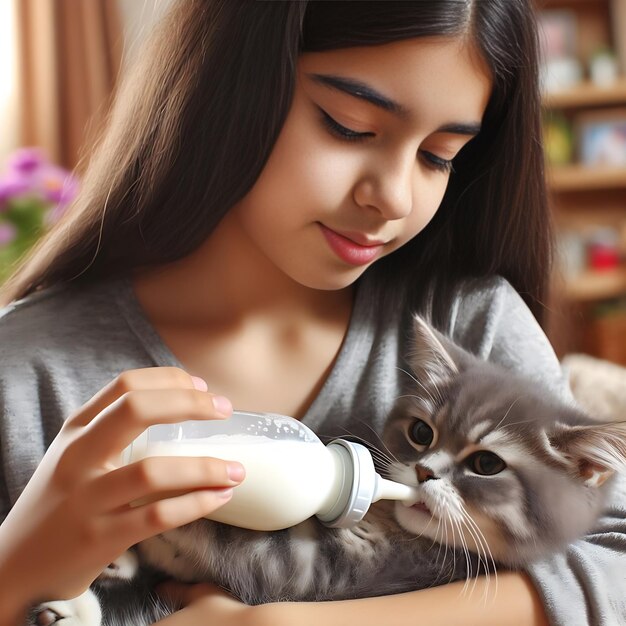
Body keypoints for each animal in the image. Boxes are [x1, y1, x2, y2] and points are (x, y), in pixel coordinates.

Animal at [30, 316, 624, 624]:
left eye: (485, 464)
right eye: (422, 433)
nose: (425, 473)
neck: (387, 526)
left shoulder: (313, 571)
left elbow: (220, 536)